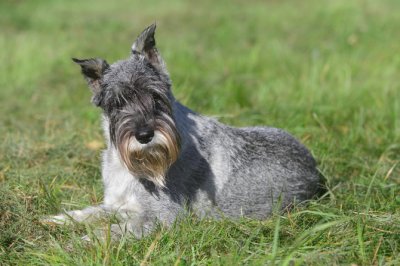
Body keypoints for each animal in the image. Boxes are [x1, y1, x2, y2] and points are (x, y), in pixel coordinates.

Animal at [46, 23, 322, 239]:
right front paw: (58, 219)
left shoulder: (163, 217)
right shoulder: (116, 204)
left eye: (156, 96)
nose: (144, 135)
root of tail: (315, 169)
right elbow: (92, 212)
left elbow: (113, 230)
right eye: (117, 103)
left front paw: (79, 243)